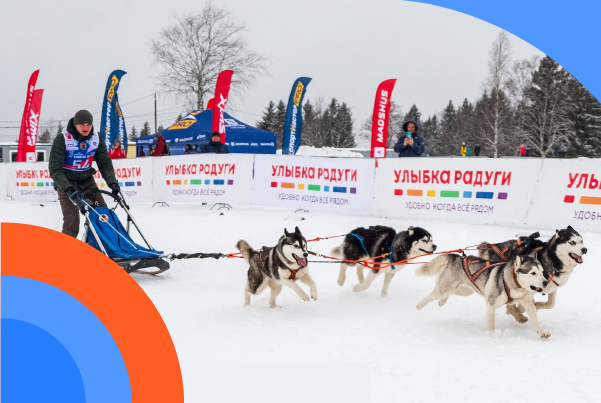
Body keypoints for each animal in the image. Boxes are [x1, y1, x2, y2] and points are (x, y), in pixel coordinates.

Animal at [418, 256, 548, 338]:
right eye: (533, 273)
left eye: (542, 272)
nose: (546, 282)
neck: (513, 283)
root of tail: (457, 257)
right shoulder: (491, 304)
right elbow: (491, 323)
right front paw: (491, 335)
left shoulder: (528, 303)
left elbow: (535, 320)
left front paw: (542, 332)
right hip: (444, 289)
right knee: (432, 295)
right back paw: (419, 305)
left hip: (464, 291)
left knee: (450, 293)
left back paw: (442, 302)